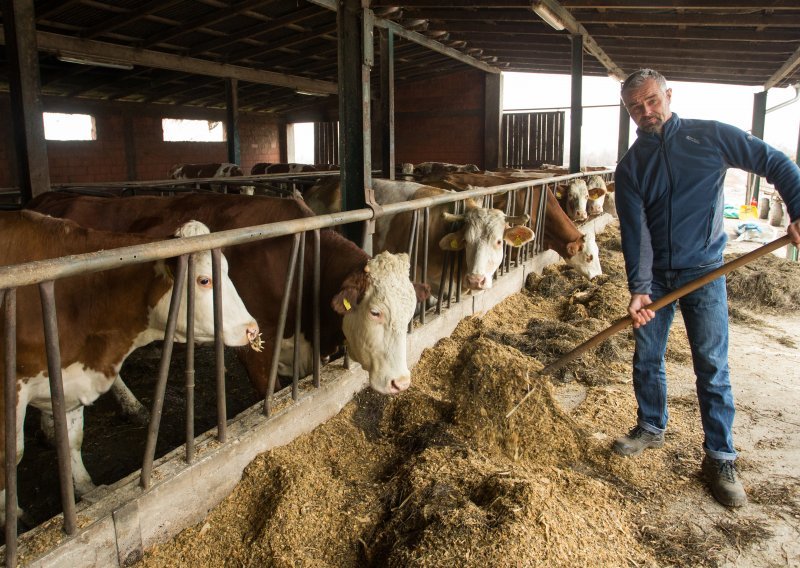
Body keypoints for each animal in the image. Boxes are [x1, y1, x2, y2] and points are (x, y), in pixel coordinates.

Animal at [0, 211, 256, 524]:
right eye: (204, 280)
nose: (252, 329)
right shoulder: (9, 388)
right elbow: (11, 456)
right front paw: (11, 516)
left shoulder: (68, 377)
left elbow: (72, 438)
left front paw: (87, 491)